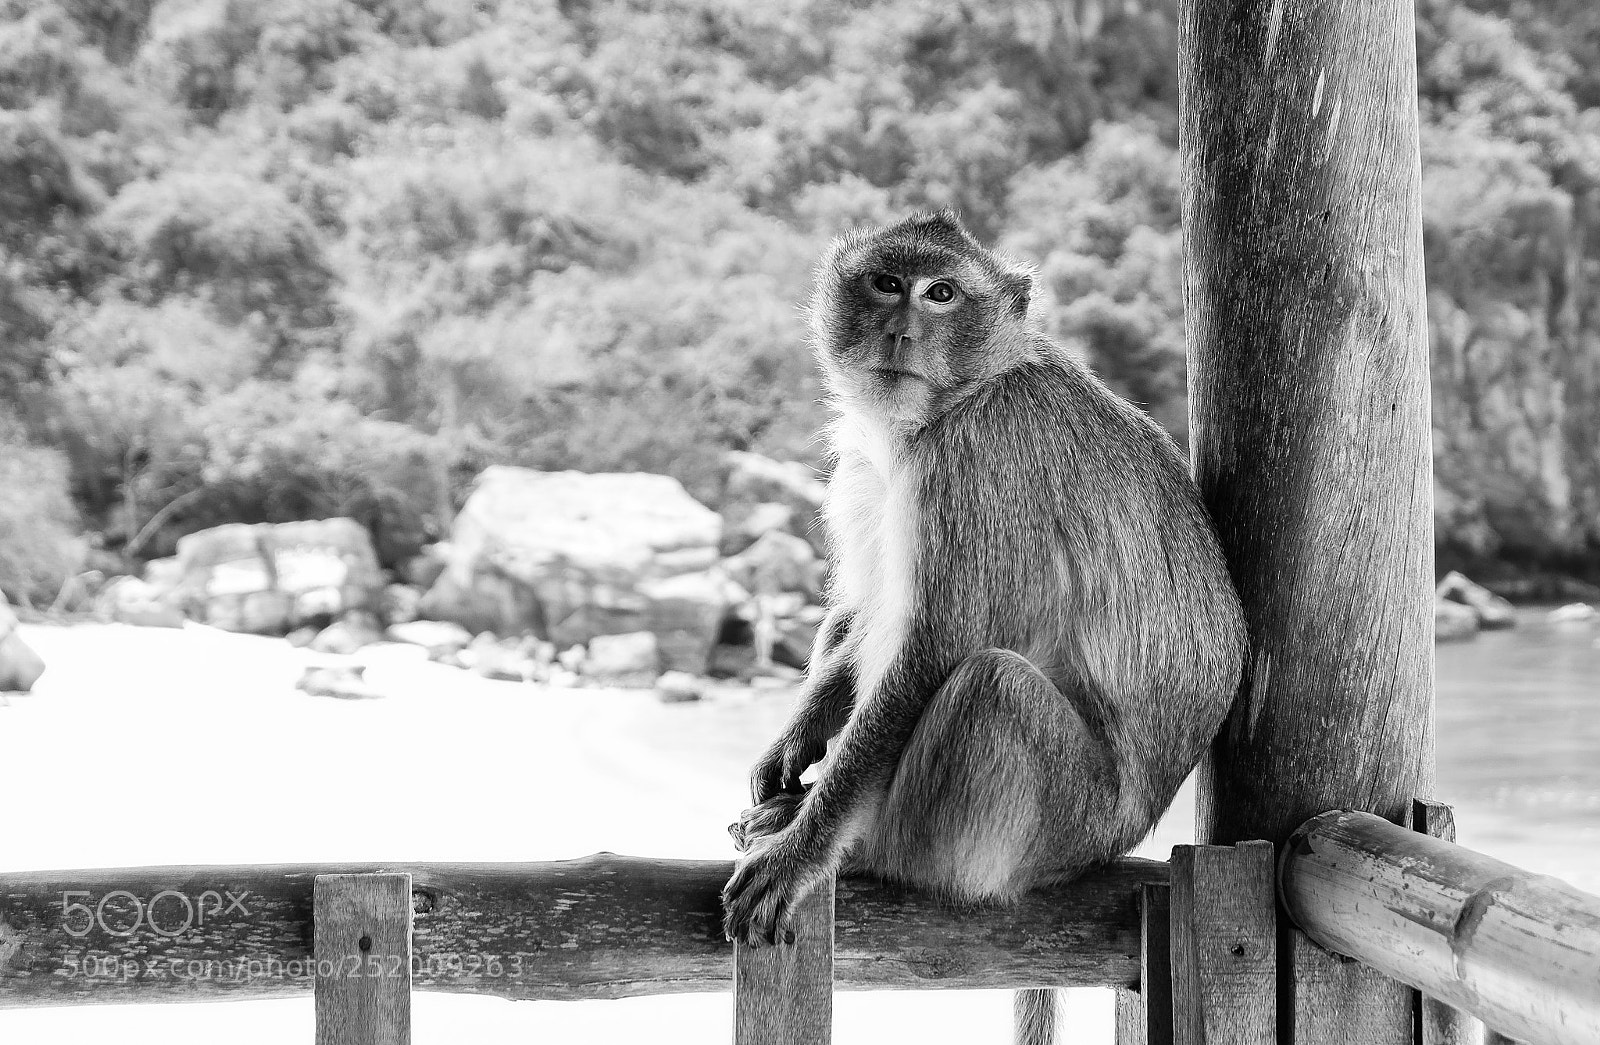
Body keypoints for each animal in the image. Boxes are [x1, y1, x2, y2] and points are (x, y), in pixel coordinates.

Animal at [721, 210, 1247, 1045]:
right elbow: (866, 610)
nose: (902, 330)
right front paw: (795, 741)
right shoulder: (871, 463)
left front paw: (806, 849)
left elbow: (936, 647)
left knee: (993, 684)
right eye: (887, 283)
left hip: (1068, 822)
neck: (952, 400)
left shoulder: (975, 459)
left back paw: (867, 850)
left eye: (942, 294)